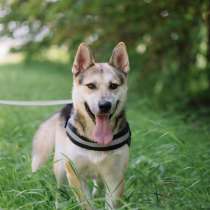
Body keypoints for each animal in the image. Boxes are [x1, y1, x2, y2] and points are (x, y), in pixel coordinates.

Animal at [31, 41, 131, 209]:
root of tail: (66, 106)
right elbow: (86, 203)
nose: (105, 105)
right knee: (60, 189)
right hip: (60, 166)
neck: (96, 142)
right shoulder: (75, 175)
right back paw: (60, 203)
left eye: (113, 86)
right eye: (91, 86)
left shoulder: (115, 178)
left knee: (98, 183)